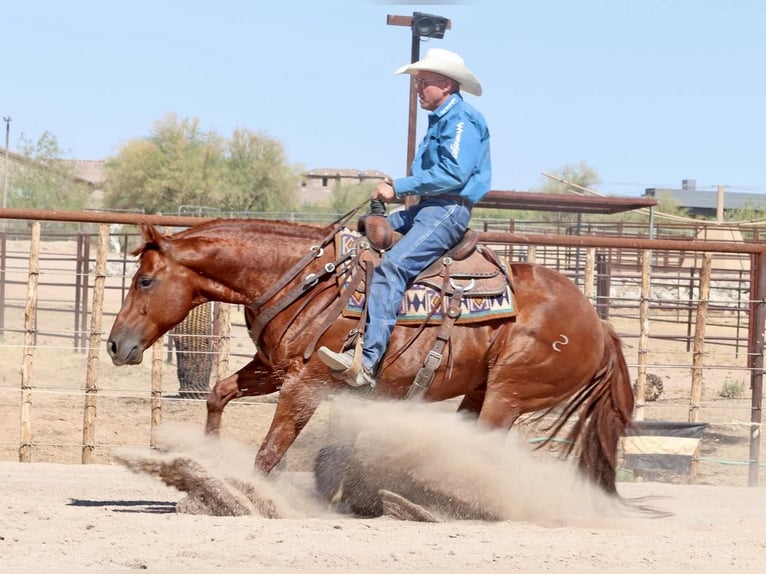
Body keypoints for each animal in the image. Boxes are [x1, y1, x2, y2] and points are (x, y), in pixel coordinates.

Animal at [108, 218, 636, 498]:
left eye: (145, 280)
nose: (115, 344)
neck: (310, 281)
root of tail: (600, 325)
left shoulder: (307, 383)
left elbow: (271, 449)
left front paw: (250, 495)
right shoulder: (276, 370)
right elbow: (218, 394)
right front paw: (208, 462)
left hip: (507, 395)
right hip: (479, 391)